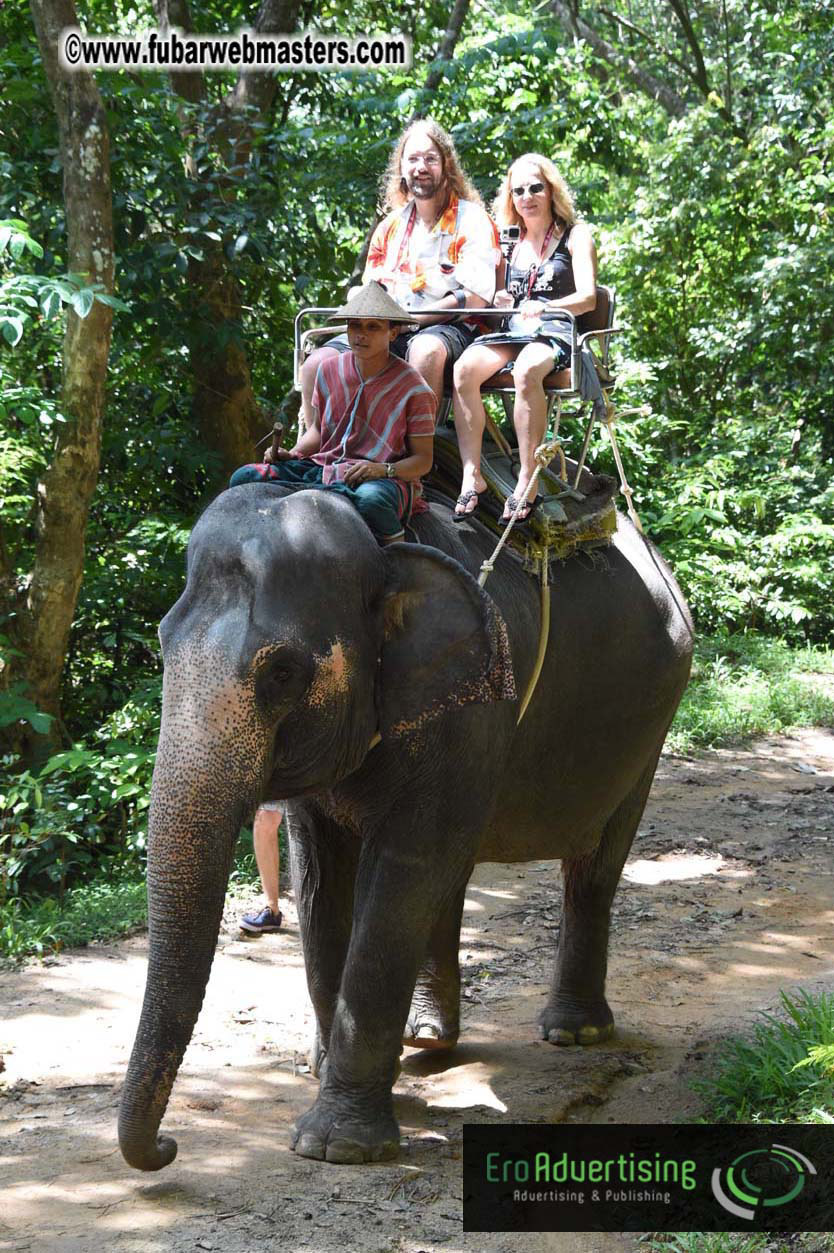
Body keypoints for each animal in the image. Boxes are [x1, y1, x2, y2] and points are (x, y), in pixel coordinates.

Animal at [118, 481, 693, 1171]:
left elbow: (401, 873)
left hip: (653, 722)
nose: (167, 1147)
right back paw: (427, 1041)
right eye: (161, 642)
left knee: (591, 866)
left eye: (282, 671)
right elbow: (321, 884)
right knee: (456, 873)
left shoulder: (472, 706)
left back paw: (573, 1031)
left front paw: (337, 1145)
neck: (384, 551)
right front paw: (327, 1074)